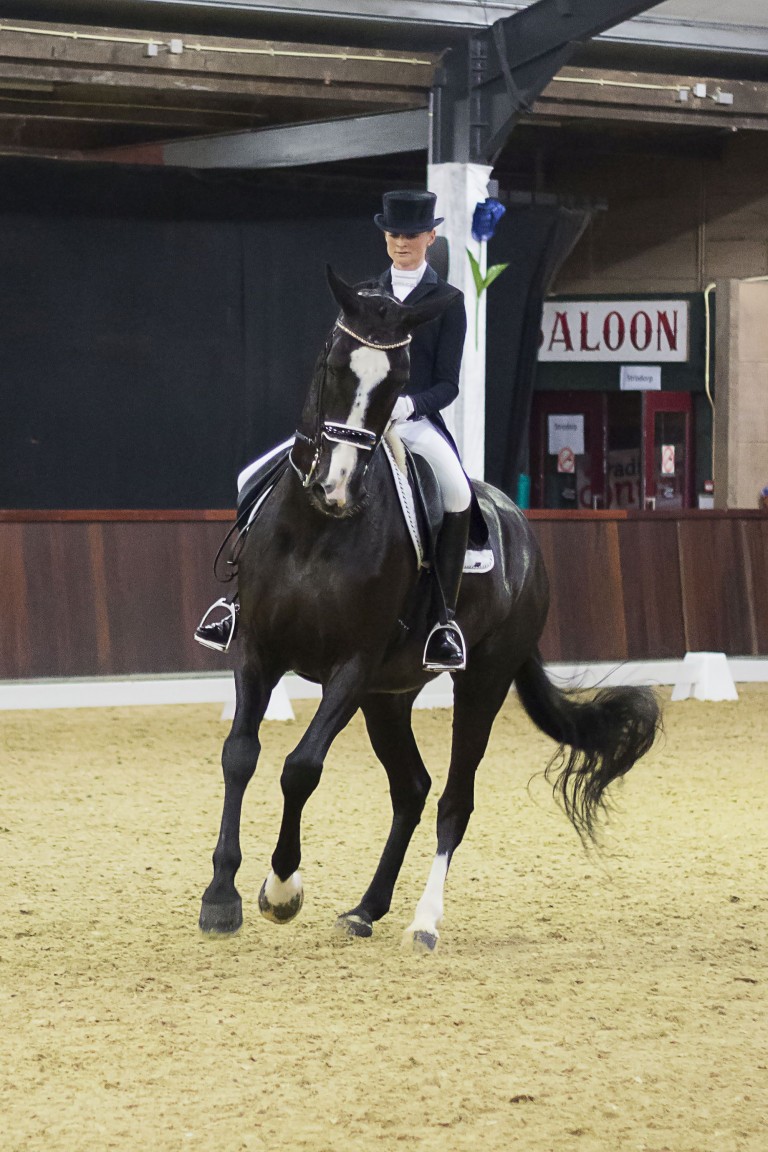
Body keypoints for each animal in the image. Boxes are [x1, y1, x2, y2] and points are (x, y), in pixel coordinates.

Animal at [198, 269, 663, 953]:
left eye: (398, 383)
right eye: (334, 364)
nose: (336, 489)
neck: (316, 530)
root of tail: (522, 529)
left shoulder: (353, 665)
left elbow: (301, 767)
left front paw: (282, 889)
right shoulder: (258, 649)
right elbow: (241, 755)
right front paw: (221, 897)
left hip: (479, 683)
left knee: (452, 799)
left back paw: (423, 921)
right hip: (389, 696)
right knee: (411, 788)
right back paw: (366, 908)